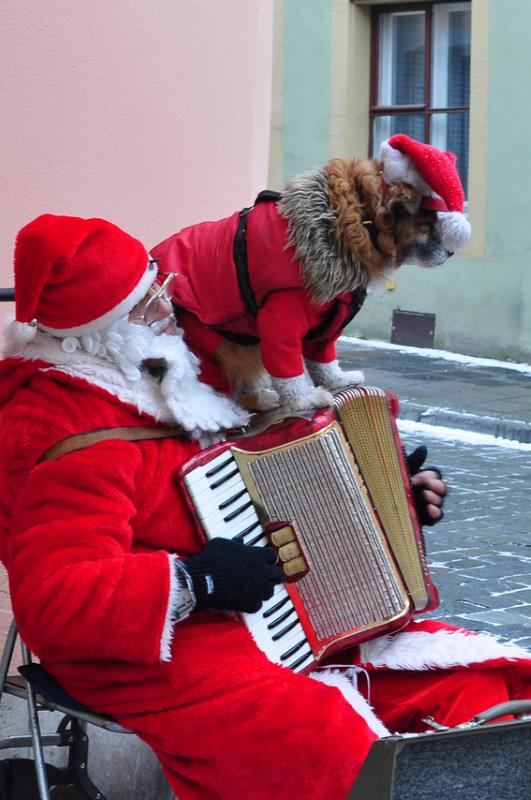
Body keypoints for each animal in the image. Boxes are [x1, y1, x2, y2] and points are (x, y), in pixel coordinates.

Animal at [152, 135, 472, 412]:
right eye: (428, 224)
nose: (451, 252)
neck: (351, 218)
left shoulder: (326, 319)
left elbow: (322, 357)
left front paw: (337, 381)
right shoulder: (281, 314)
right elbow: (288, 365)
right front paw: (302, 399)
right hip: (209, 344)